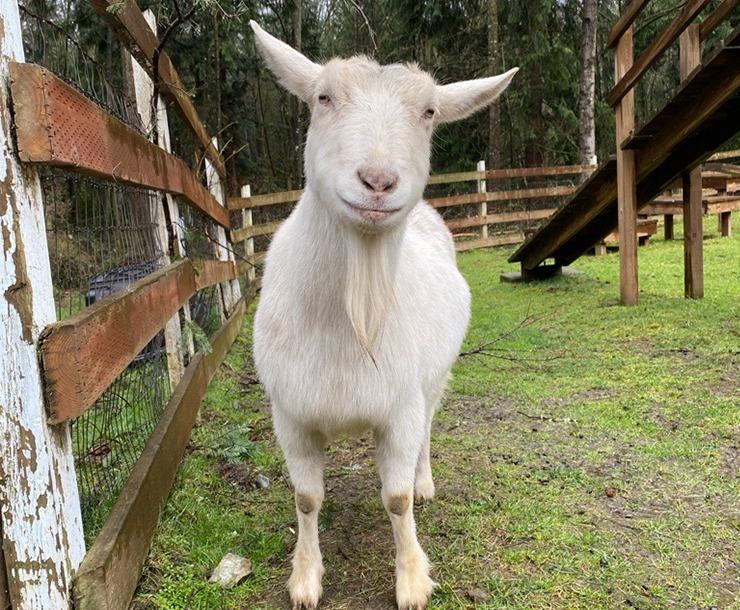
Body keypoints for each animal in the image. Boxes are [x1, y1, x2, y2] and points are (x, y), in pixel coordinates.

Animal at [250, 20, 517, 610]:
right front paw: (305, 579)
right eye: (322, 98)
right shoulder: (291, 412)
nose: (377, 181)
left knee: (428, 432)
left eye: (430, 112)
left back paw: (425, 481)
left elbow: (396, 500)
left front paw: (413, 580)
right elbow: (306, 498)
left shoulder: (400, 407)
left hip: (435, 379)